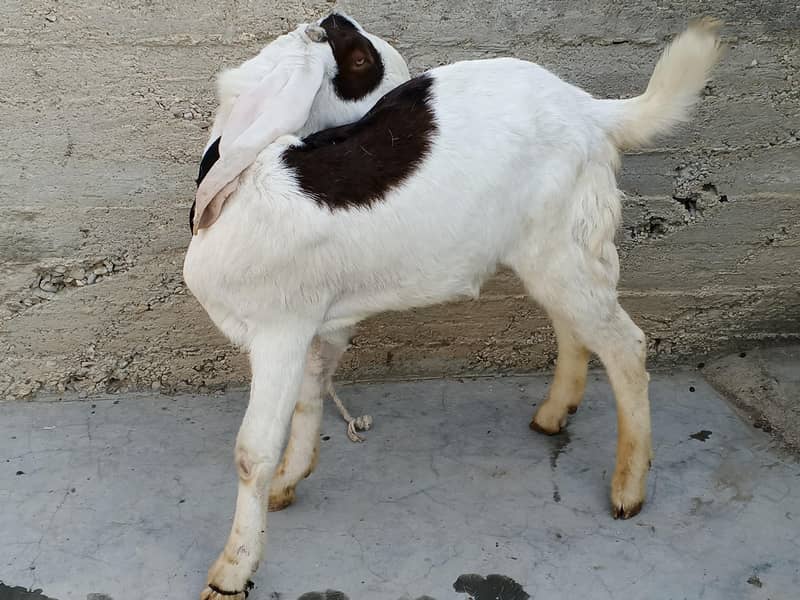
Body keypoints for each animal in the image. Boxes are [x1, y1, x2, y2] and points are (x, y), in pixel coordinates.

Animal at [184, 14, 722, 599]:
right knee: (573, 326)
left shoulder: (279, 331)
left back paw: (628, 486)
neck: (246, 179)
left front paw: (233, 570)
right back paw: (554, 413)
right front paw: (289, 482)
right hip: (551, 252)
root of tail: (592, 111)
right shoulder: (313, 324)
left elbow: (251, 452)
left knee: (626, 346)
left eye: (358, 60)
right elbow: (309, 401)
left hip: (564, 250)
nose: (330, 20)